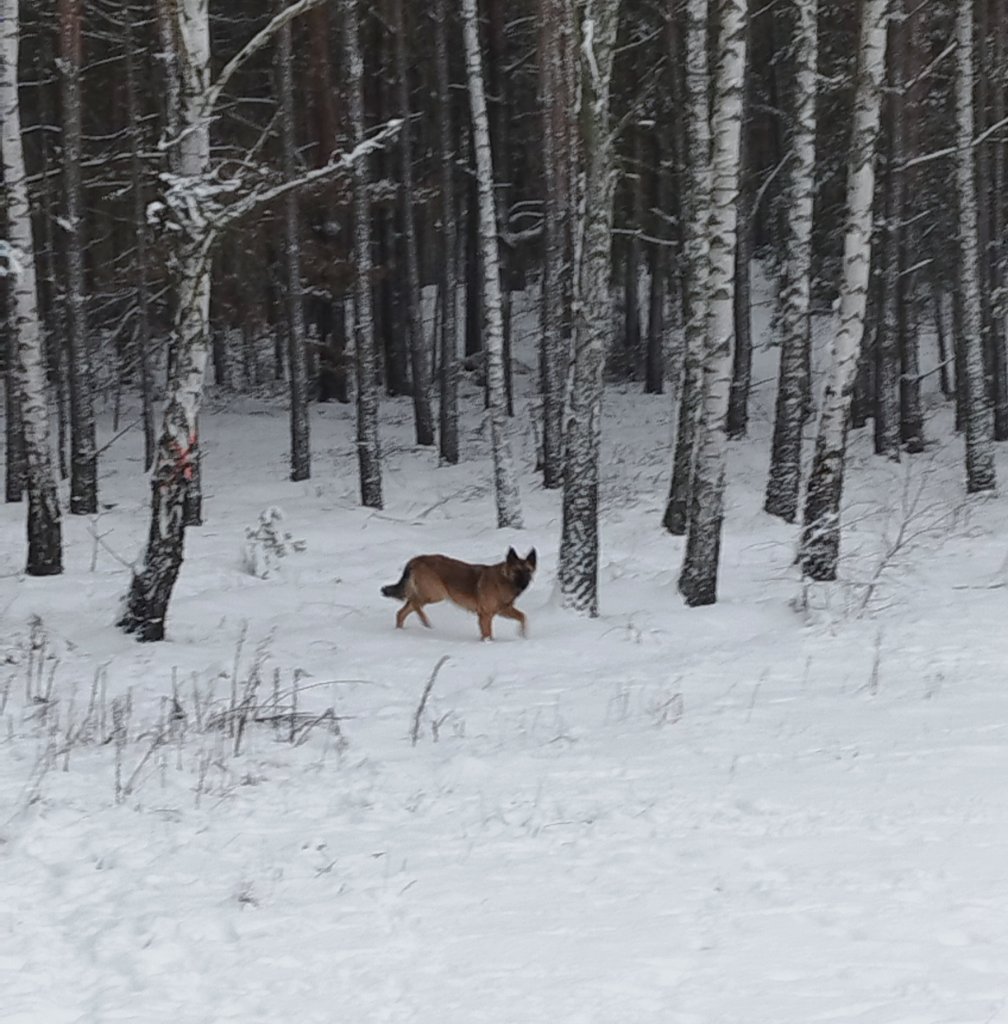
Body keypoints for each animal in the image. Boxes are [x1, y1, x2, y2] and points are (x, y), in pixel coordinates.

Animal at [381, 547, 537, 640]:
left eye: (528, 571)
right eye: (517, 571)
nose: (525, 584)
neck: (504, 579)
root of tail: (417, 559)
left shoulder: (503, 610)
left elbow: (522, 617)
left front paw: (523, 635)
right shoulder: (486, 615)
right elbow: (487, 633)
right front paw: (489, 643)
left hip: (428, 594)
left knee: (402, 611)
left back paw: (401, 631)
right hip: (435, 593)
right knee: (414, 603)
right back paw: (425, 622)